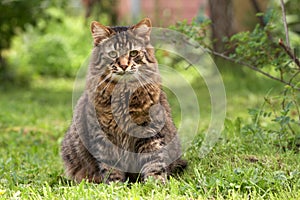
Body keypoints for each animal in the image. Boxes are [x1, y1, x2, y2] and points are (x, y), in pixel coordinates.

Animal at [61, 18, 186, 184]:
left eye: (133, 53)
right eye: (113, 54)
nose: (124, 65)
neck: (123, 95)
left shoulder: (149, 131)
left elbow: (154, 162)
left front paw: (156, 183)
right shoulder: (103, 136)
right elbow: (111, 169)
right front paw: (114, 185)